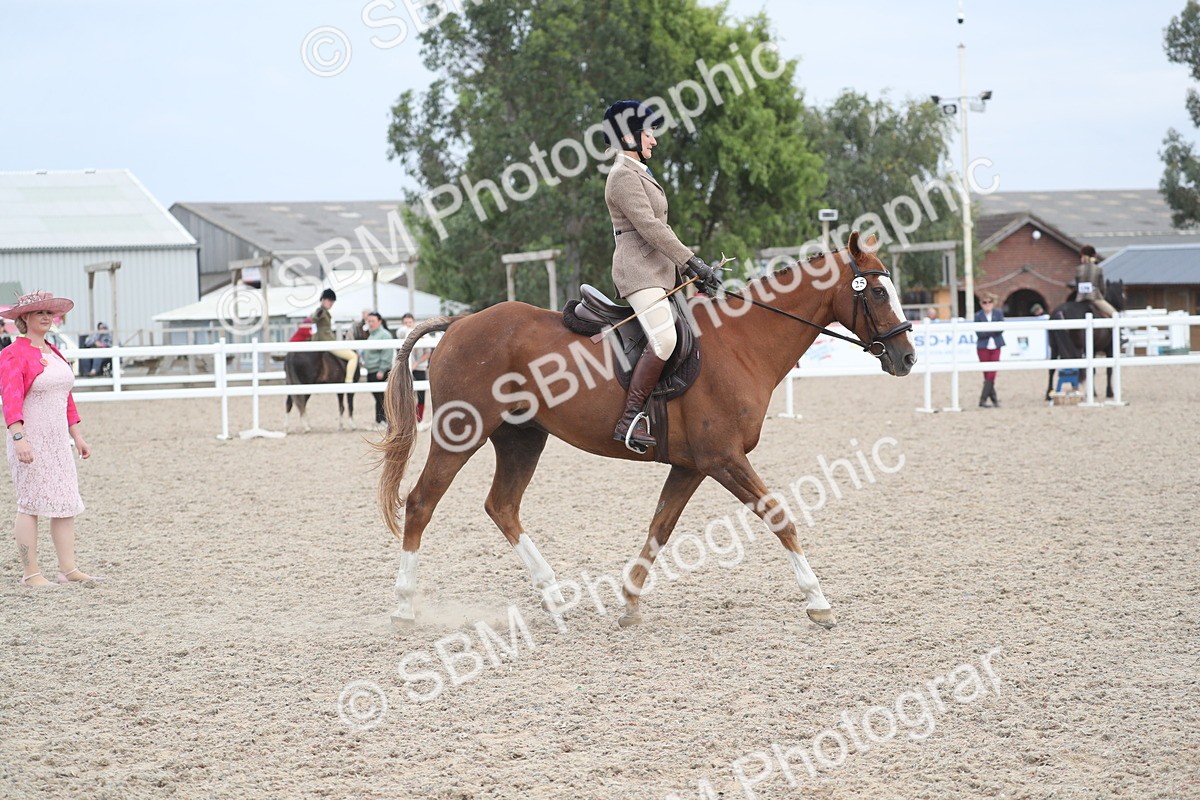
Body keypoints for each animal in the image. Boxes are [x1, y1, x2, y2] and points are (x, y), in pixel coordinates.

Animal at [376, 231, 917, 631]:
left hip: (523, 438)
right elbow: (780, 517)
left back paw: (554, 598)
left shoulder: (692, 466)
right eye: (878, 291)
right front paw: (818, 602)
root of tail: (459, 325)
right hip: (461, 434)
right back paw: (403, 607)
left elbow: (660, 527)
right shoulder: (724, 459)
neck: (743, 344)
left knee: (502, 506)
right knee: (421, 504)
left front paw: (630, 601)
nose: (907, 357)